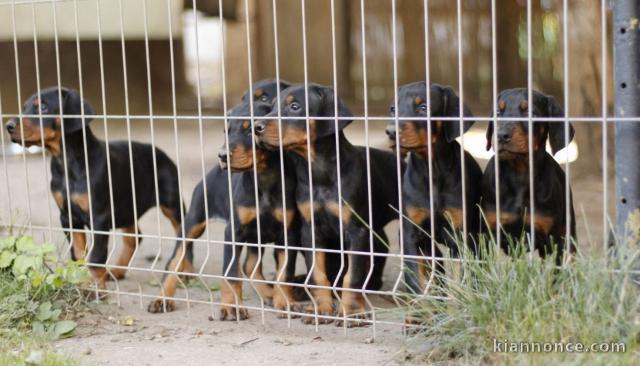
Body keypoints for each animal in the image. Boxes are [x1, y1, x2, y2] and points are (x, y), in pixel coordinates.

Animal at [5, 86, 182, 288]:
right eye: (24, 107)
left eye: (43, 107)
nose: (8, 126)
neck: (67, 162)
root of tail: (161, 153)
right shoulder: (68, 217)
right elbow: (78, 253)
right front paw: (83, 281)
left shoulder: (99, 217)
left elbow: (96, 256)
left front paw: (97, 286)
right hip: (127, 206)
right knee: (134, 238)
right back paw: (116, 272)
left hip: (172, 204)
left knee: (184, 236)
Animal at [254, 83, 400, 326]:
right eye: (271, 106)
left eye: (295, 107)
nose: (256, 127)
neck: (320, 172)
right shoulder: (310, 230)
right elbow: (318, 273)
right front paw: (321, 309)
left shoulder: (357, 231)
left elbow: (353, 275)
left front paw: (352, 313)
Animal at [384, 81, 480, 296]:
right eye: (393, 109)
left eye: (423, 108)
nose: (391, 132)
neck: (432, 172)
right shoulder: (411, 235)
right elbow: (415, 278)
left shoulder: (460, 234)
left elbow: (461, 277)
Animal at [482, 88, 576, 260]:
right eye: (498, 112)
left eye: (530, 113)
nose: (501, 135)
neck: (519, 173)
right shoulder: (487, 233)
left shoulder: (551, 240)